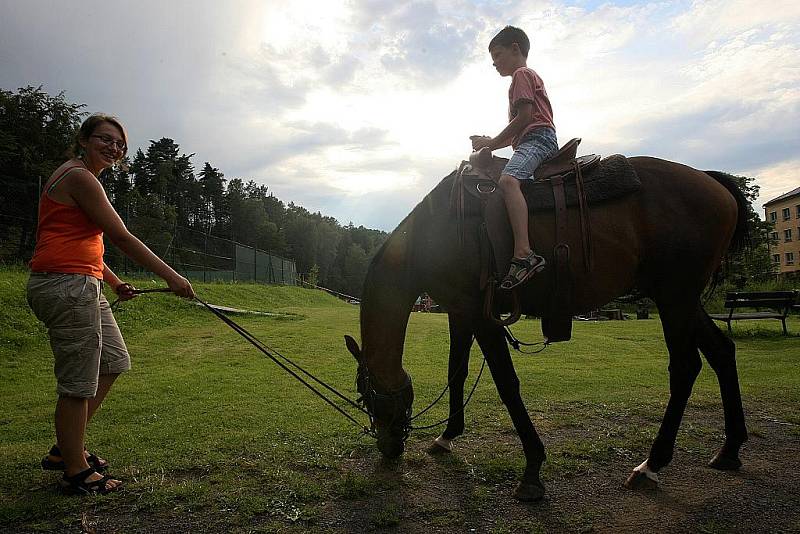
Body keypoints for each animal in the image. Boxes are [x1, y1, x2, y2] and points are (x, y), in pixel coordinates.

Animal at [344, 155, 752, 502]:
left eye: (367, 396)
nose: (388, 447)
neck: (435, 233)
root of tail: (711, 181)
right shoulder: (459, 312)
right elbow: (455, 373)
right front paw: (447, 436)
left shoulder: (483, 316)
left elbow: (507, 385)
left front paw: (532, 469)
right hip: (680, 299)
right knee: (721, 351)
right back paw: (729, 449)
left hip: (674, 297)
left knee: (685, 367)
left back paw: (652, 464)